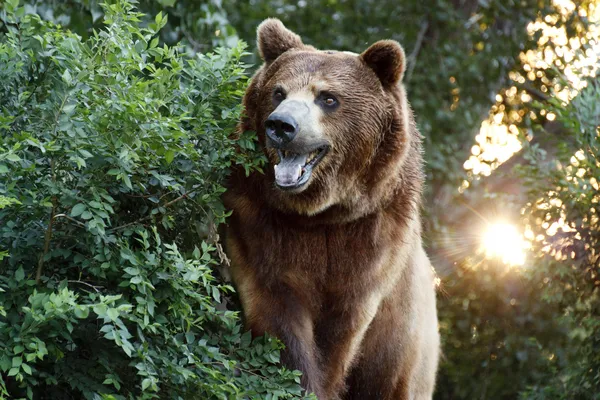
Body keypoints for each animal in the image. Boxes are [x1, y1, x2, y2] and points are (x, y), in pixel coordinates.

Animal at [223, 18, 438, 396]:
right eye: (278, 92)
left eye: (328, 97)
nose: (281, 125)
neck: (323, 213)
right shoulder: (259, 224)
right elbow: (278, 312)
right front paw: (300, 379)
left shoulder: (371, 242)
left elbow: (340, 331)